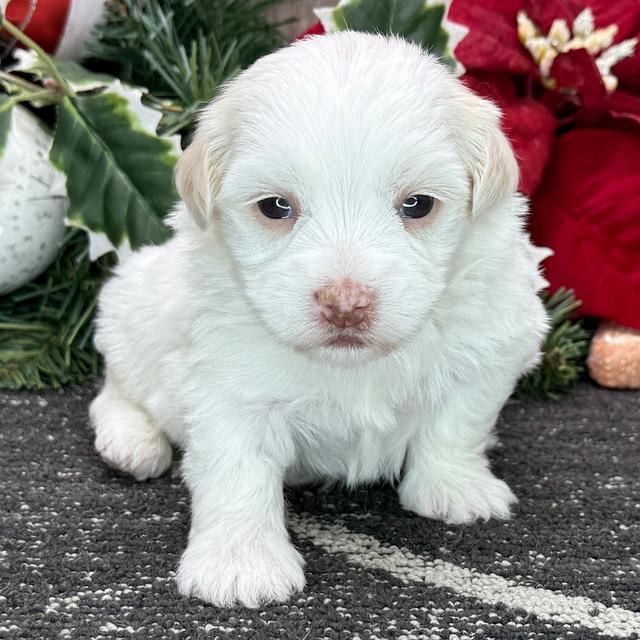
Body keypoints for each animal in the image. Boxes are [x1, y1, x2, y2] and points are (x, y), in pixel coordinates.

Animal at [90, 32, 552, 608]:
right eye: (275, 207)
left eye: (418, 205)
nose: (345, 302)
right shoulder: (229, 386)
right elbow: (236, 468)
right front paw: (241, 564)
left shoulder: (489, 345)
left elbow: (457, 423)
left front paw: (455, 488)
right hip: (131, 314)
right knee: (114, 391)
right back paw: (131, 444)